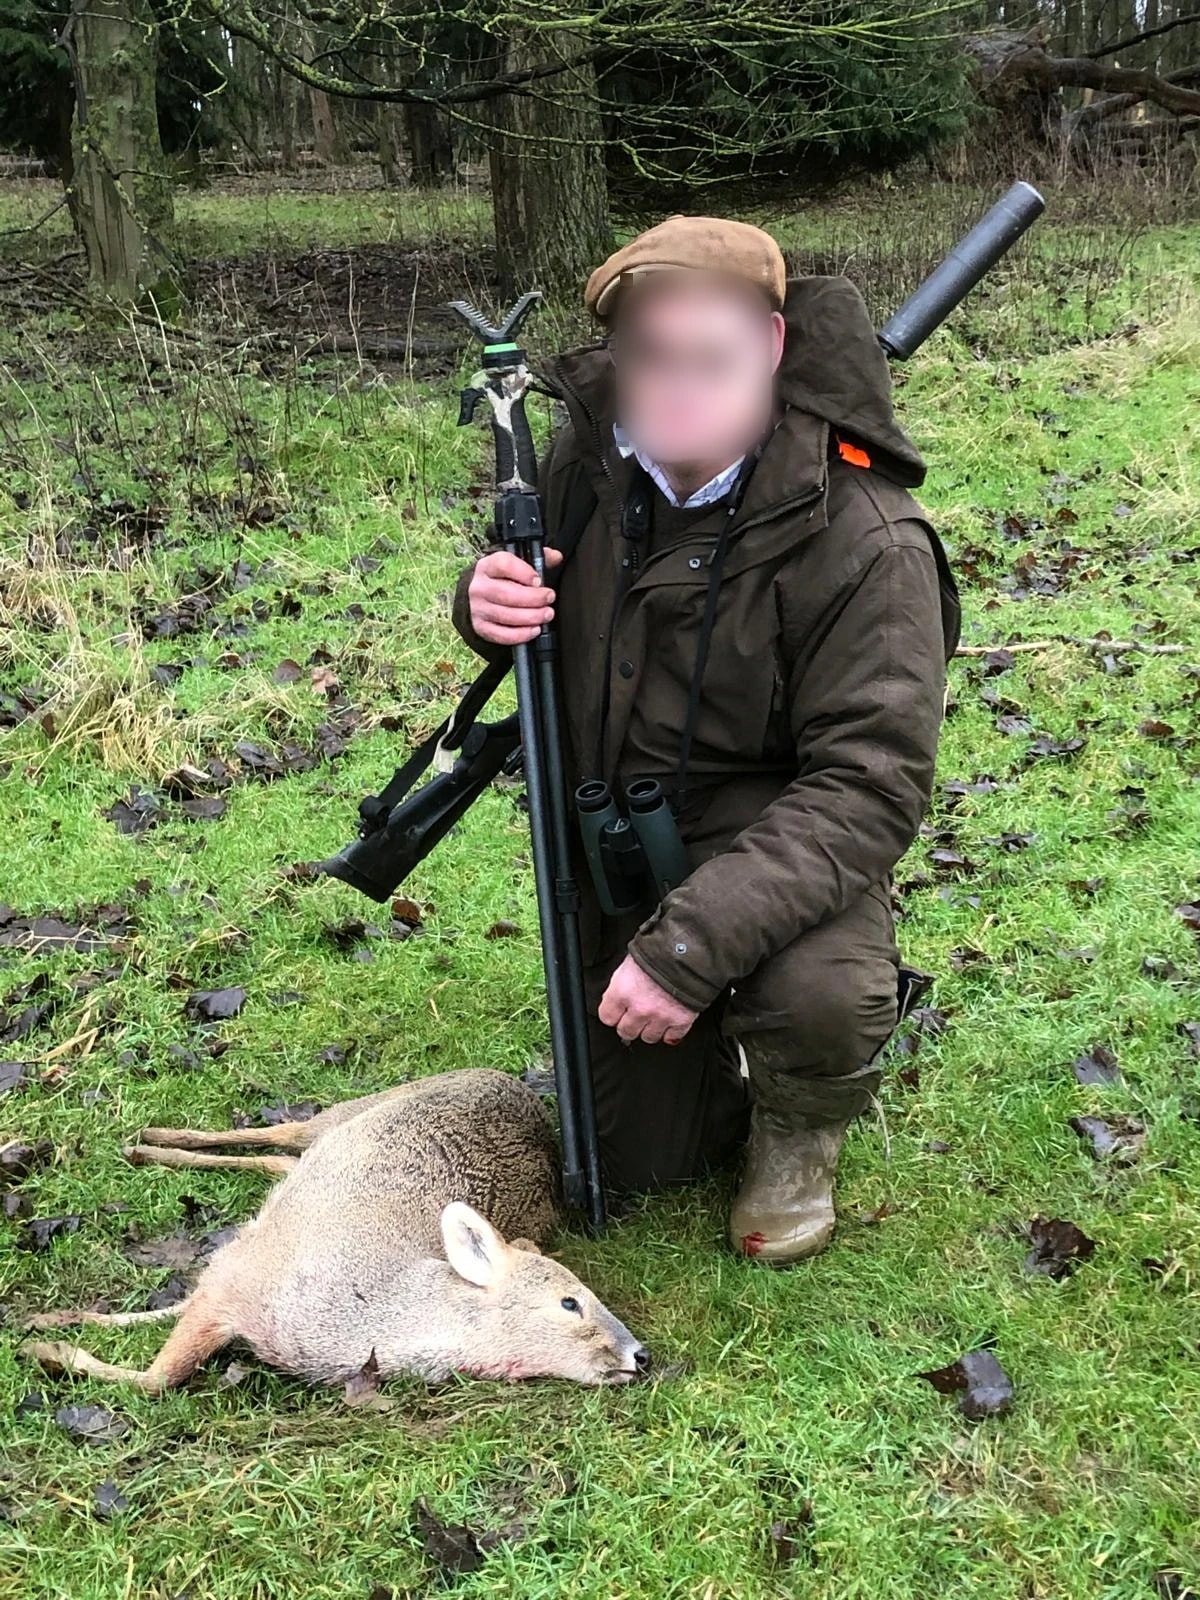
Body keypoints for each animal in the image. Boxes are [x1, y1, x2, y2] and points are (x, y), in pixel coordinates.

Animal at [20, 1069, 649, 1394]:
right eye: (570, 1302)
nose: (639, 1354)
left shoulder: (235, 1278)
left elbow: (167, 1335)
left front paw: (50, 1324)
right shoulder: (237, 1283)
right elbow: (160, 1376)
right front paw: (49, 1346)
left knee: (278, 1159)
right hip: (349, 1110)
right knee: (279, 1133)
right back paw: (150, 1140)